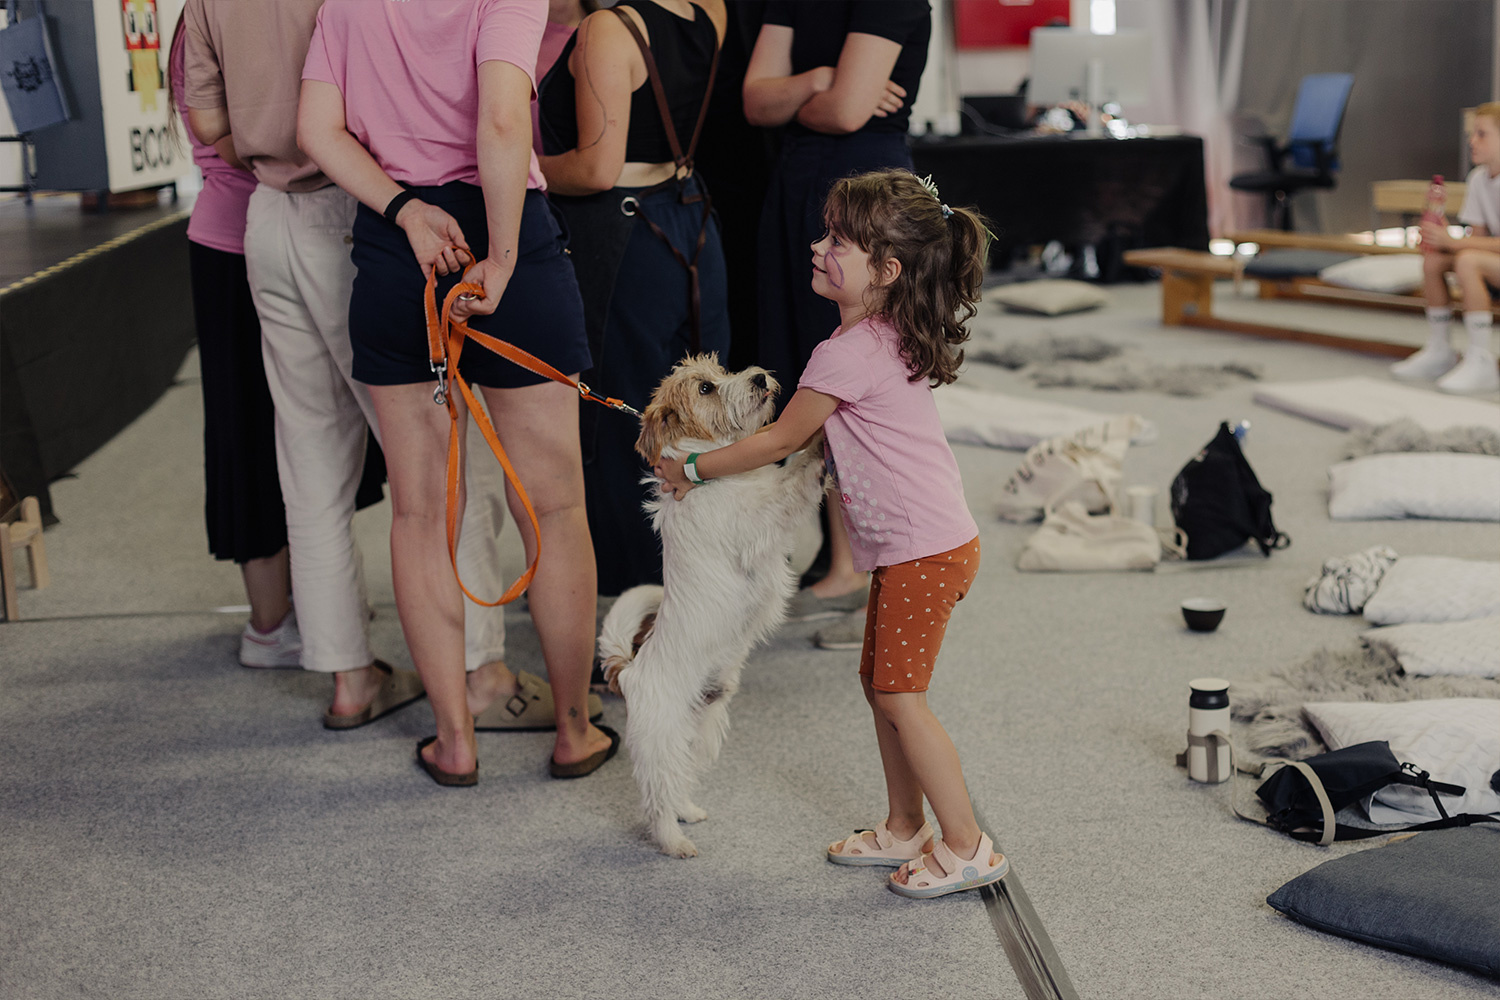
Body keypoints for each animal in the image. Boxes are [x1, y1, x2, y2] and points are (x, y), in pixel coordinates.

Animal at [598, 354, 827, 858]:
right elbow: (792, 483)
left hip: (699, 730)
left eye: (721, 371)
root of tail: (630, 672)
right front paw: (819, 444)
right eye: (705, 388)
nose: (759, 377)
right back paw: (674, 841)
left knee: (680, 783)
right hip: (660, 745)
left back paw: (689, 811)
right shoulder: (759, 519)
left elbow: (786, 469)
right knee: (657, 800)